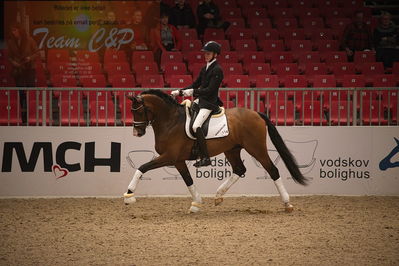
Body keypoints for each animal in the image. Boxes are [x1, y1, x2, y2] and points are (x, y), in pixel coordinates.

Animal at [123, 89, 308, 212]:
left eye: (138, 111)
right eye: (131, 111)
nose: (137, 133)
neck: (171, 121)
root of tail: (256, 113)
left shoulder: (169, 157)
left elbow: (142, 168)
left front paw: (129, 195)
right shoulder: (178, 160)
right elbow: (188, 180)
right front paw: (196, 203)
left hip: (256, 148)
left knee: (272, 170)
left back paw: (287, 203)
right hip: (232, 149)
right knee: (239, 169)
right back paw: (218, 196)